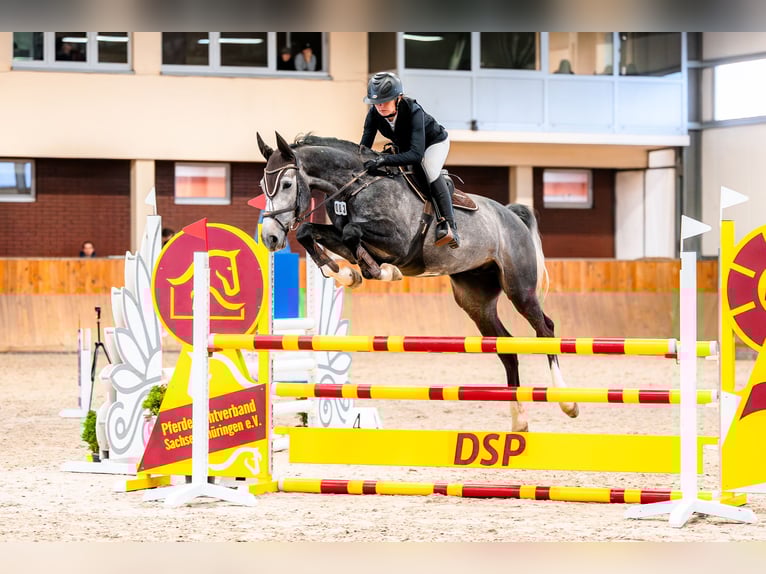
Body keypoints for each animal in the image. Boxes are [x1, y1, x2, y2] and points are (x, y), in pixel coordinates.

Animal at [254, 131, 579, 431]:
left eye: (286, 184)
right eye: (263, 187)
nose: (270, 238)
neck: (356, 186)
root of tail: (511, 216)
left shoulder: (397, 241)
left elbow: (351, 234)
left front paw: (379, 271)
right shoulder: (345, 237)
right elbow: (311, 231)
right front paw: (347, 273)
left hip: (519, 289)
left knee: (545, 329)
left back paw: (567, 402)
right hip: (475, 301)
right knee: (506, 347)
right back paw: (519, 420)